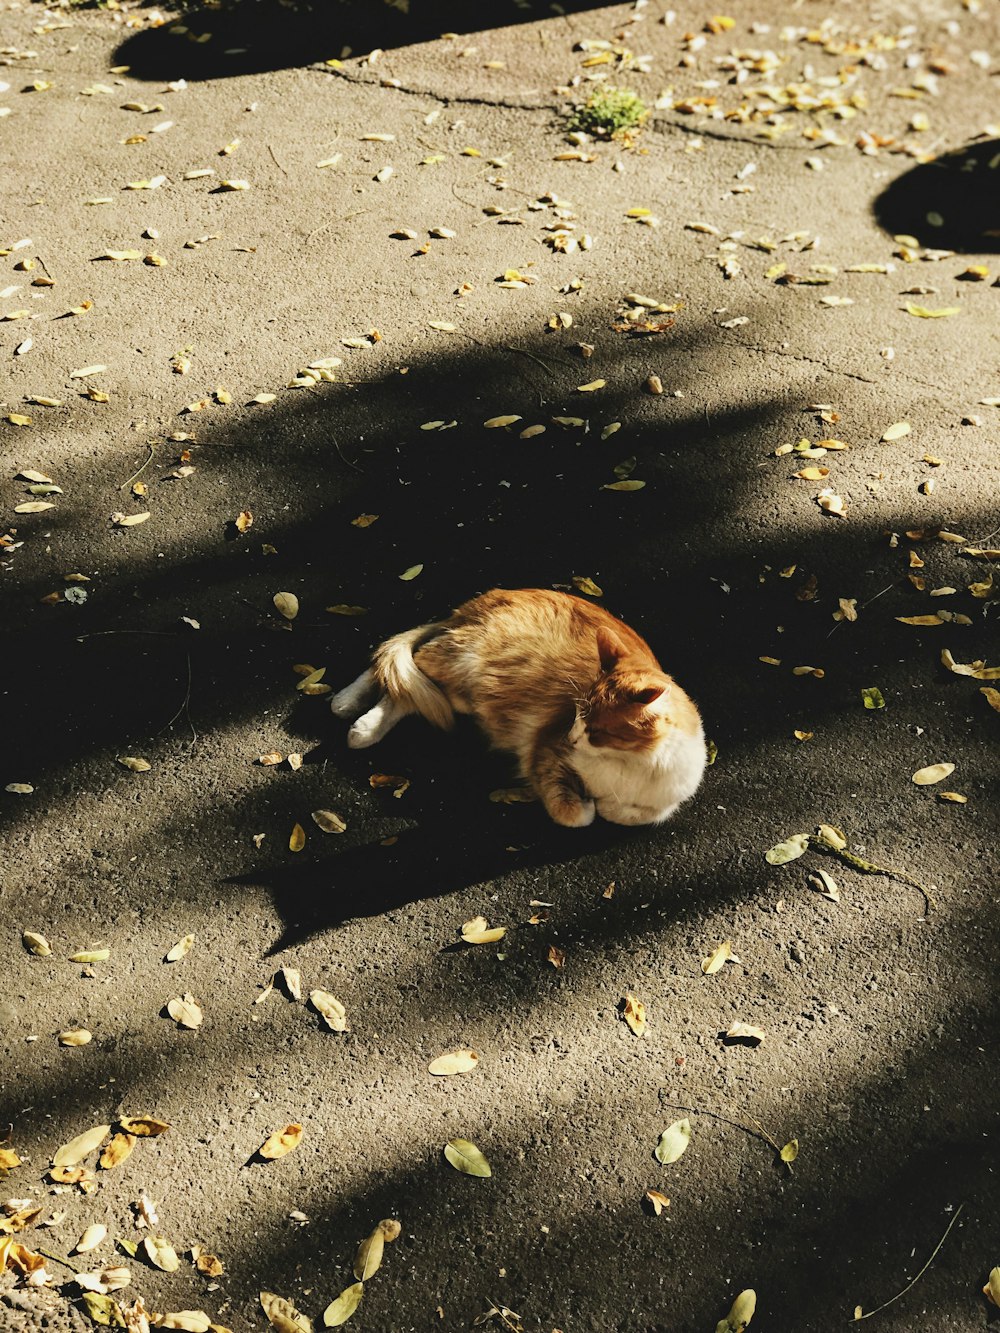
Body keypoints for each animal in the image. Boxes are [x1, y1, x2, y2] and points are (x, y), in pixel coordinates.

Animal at [333, 589, 709, 826]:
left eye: (599, 730)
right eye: (577, 715)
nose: (572, 739)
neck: (629, 765)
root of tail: (476, 602)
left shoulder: (665, 800)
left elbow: (636, 814)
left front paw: (606, 804)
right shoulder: (547, 755)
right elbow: (575, 816)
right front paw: (588, 804)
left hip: (460, 691)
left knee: (411, 689)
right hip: (462, 662)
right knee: (402, 671)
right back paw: (353, 712)